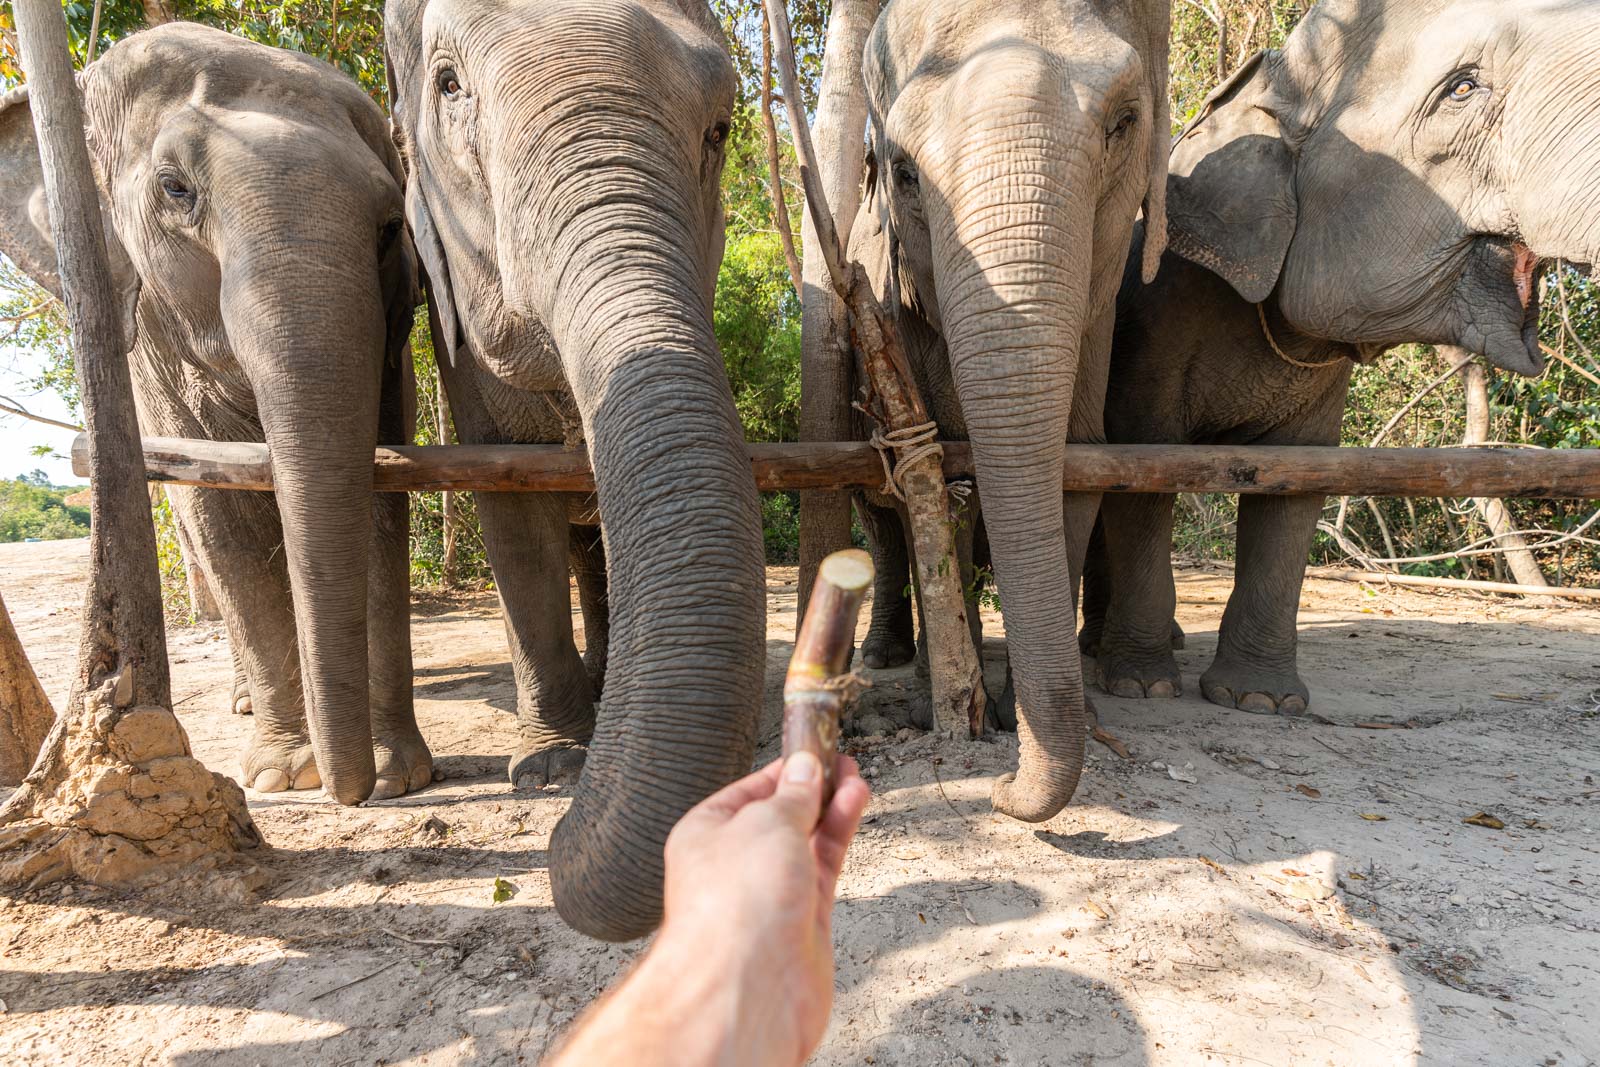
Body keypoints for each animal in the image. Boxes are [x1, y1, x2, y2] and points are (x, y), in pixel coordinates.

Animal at [0, 20, 432, 806]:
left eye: (391, 226)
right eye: (176, 189)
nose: (349, 794)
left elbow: (383, 491)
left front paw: (397, 775)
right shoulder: (146, 341)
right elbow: (220, 515)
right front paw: (284, 777)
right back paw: (243, 704)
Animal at [384, 0, 764, 940]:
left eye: (721, 127)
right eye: (449, 85)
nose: (556, 841)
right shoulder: (453, 340)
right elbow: (511, 516)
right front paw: (550, 768)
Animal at [844, 0, 1171, 825]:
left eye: (1124, 123)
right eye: (902, 171)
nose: (997, 790)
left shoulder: (1099, 322)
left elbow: (1079, 467)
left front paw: (1031, 714)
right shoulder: (898, 309)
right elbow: (932, 483)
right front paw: (960, 711)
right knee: (880, 520)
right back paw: (892, 660)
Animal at [1081, 0, 1593, 716]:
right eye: (1463, 89)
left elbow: (1297, 484)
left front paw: (1262, 704)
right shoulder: (1156, 325)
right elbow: (1142, 470)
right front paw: (1142, 686)